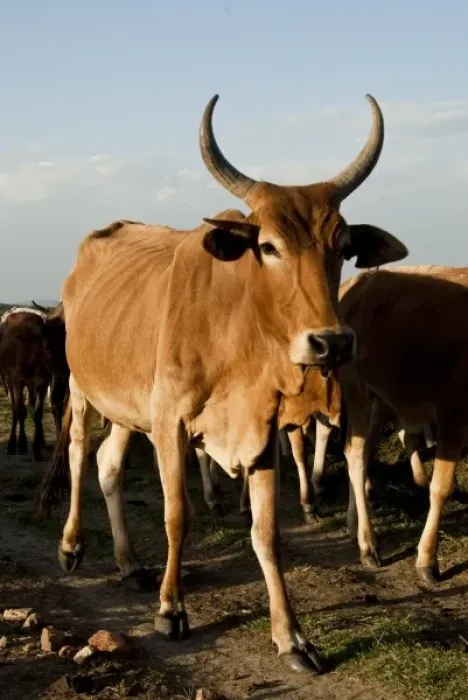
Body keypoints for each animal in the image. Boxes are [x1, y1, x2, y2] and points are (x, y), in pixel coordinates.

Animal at [39, 93, 408, 674]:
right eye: (270, 247)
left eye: (344, 247)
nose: (331, 344)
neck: (236, 336)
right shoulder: (171, 423)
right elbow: (178, 516)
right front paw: (171, 610)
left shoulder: (261, 431)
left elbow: (268, 534)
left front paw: (292, 637)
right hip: (81, 388)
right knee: (77, 455)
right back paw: (72, 546)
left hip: (128, 409)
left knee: (109, 466)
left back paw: (129, 564)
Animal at [335, 265, 468, 585]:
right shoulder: (453, 411)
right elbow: (440, 487)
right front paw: (427, 560)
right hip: (355, 386)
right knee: (355, 455)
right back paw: (368, 546)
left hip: (382, 397)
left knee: (364, 450)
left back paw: (353, 523)